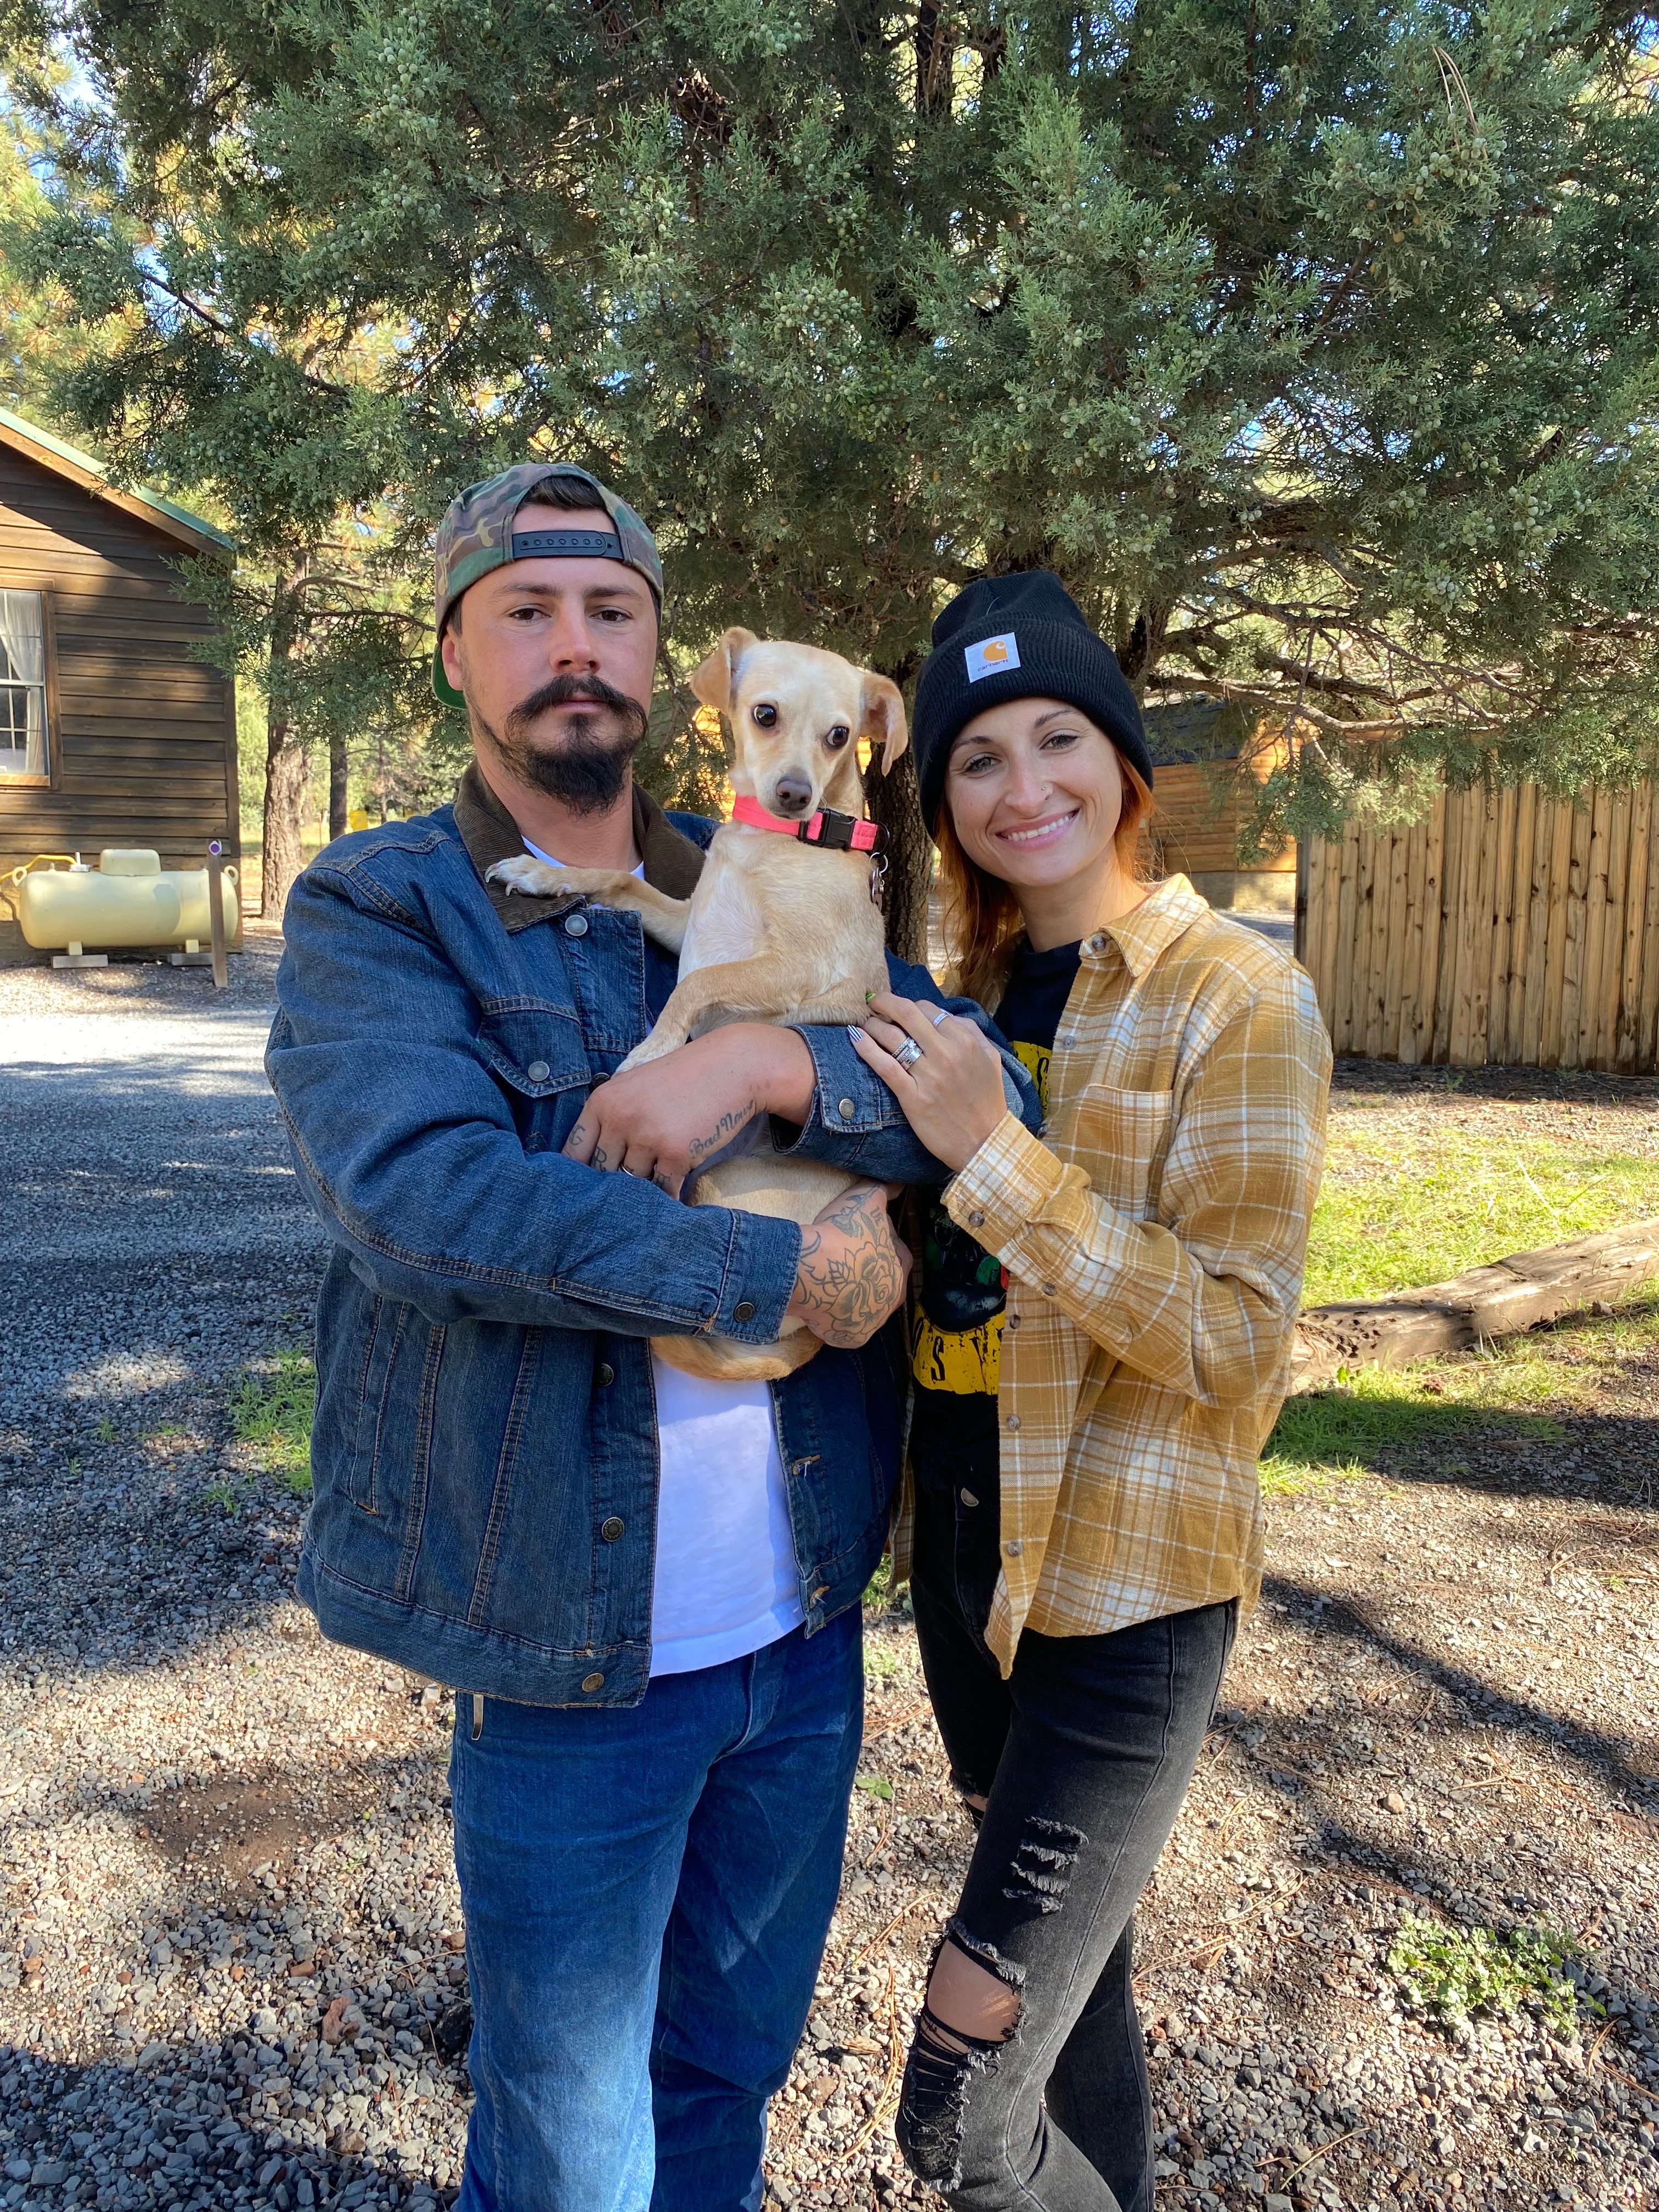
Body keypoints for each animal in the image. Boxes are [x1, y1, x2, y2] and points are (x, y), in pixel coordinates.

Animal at [488, 627, 908, 1382]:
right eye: (765, 715)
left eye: (840, 736)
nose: (796, 794)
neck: (772, 842)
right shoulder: (685, 922)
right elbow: (619, 878)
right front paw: (541, 873)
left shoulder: (797, 967)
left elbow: (696, 986)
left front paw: (653, 1054)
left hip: (724, 1188)